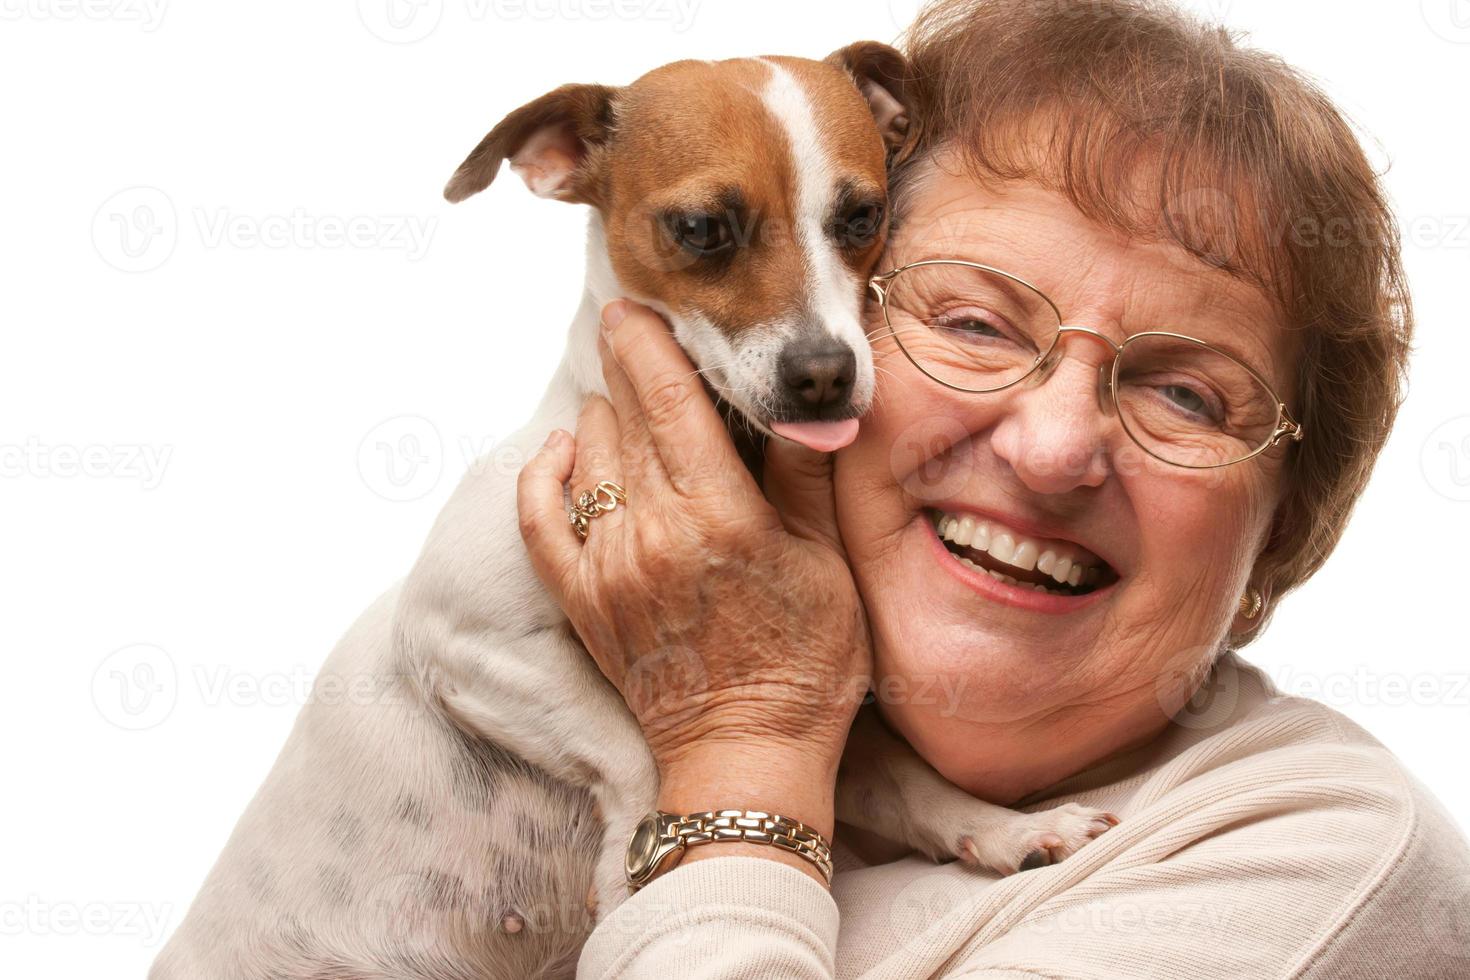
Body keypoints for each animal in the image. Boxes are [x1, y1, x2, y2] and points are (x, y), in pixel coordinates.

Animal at [152, 45, 1111, 980]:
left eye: (861, 216)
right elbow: (633, 748)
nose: (825, 375)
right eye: (701, 229)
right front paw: (630, 871)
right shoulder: (464, 637)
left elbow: (912, 784)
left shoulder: (812, 730)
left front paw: (1011, 827)